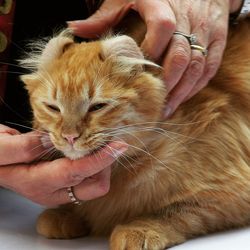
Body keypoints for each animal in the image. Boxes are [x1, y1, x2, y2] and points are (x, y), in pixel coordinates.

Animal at [20, 16, 250, 249]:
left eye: (97, 107)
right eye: (53, 108)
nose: (69, 136)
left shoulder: (231, 192)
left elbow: (176, 211)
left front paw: (139, 229)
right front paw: (66, 214)